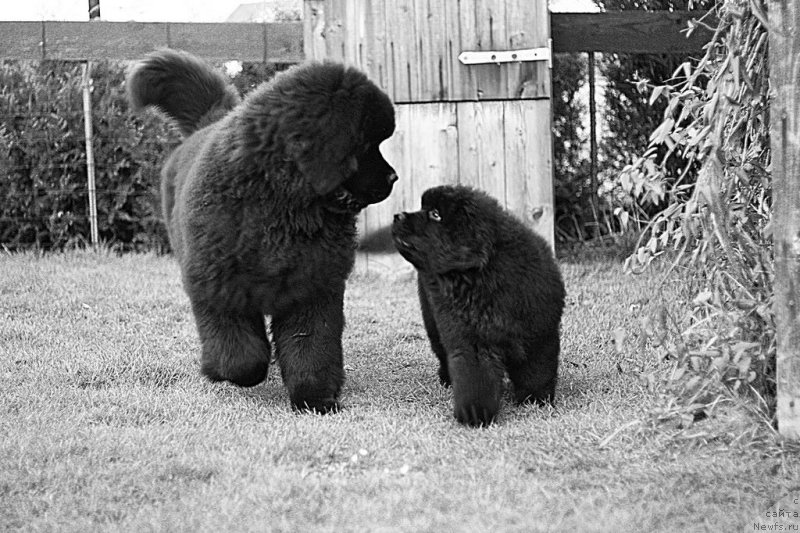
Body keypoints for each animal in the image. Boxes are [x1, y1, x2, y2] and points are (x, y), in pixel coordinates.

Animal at [127, 50, 396, 412]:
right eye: (366, 144)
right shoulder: (219, 285)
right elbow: (242, 357)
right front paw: (226, 371)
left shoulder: (312, 287)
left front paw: (316, 399)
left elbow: (312, 346)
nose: (393, 177)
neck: (282, 205)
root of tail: (208, 121)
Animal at [390, 185, 564, 426]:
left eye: (435, 214)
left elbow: (536, 372)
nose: (397, 216)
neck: (481, 277)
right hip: (433, 321)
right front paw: (475, 413)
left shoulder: (539, 334)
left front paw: (535, 400)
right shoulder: (473, 342)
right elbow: (476, 379)